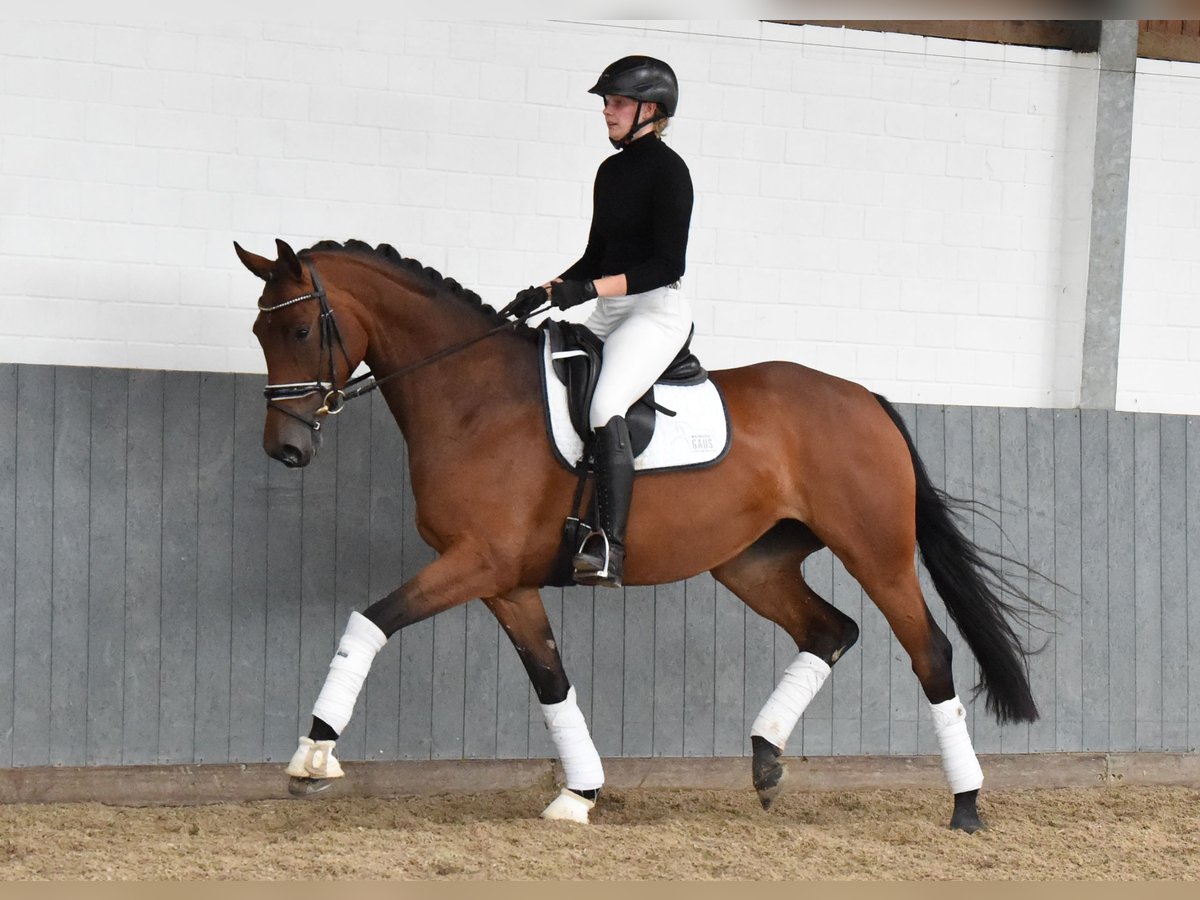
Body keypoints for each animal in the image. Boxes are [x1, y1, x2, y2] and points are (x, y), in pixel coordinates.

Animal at [236, 237, 1041, 830]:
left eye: (300, 329)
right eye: (258, 331)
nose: (287, 448)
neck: (472, 396)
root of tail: (865, 397)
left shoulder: (476, 562)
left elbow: (368, 621)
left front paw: (312, 756)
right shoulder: (505, 580)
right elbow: (551, 679)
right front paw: (578, 795)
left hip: (876, 552)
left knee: (929, 652)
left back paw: (966, 806)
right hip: (753, 564)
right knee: (830, 629)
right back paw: (766, 762)